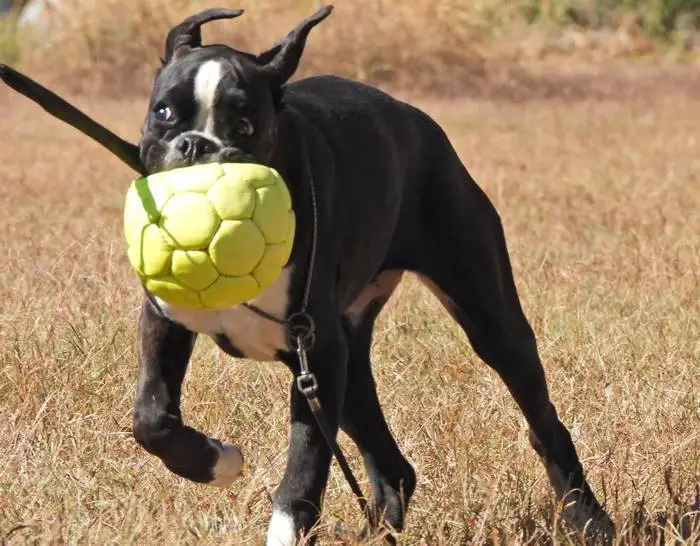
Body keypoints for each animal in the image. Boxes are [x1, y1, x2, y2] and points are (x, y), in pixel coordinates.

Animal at [0, 5, 612, 544]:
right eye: (164, 114)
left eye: (245, 125)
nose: (196, 145)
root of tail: (419, 121)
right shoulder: (169, 321)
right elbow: (152, 417)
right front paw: (217, 463)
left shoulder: (314, 351)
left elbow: (304, 464)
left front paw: (284, 526)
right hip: (349, 357)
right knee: (392, 463)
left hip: (483, 315)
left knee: (541, 419)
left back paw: (588, 519)